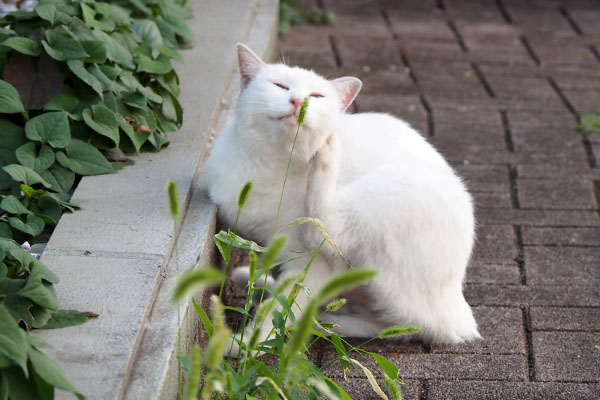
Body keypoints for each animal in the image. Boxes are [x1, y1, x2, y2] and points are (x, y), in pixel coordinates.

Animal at [204, 43, 480, 344]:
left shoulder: (311, 262)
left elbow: (281, 309)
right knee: (386, 323)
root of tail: (461, 314)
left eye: (317, 96)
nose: (298, 101)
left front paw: (248, 344)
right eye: (280, 86)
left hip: (383, 194)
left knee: (407, 325)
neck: (274, 165)